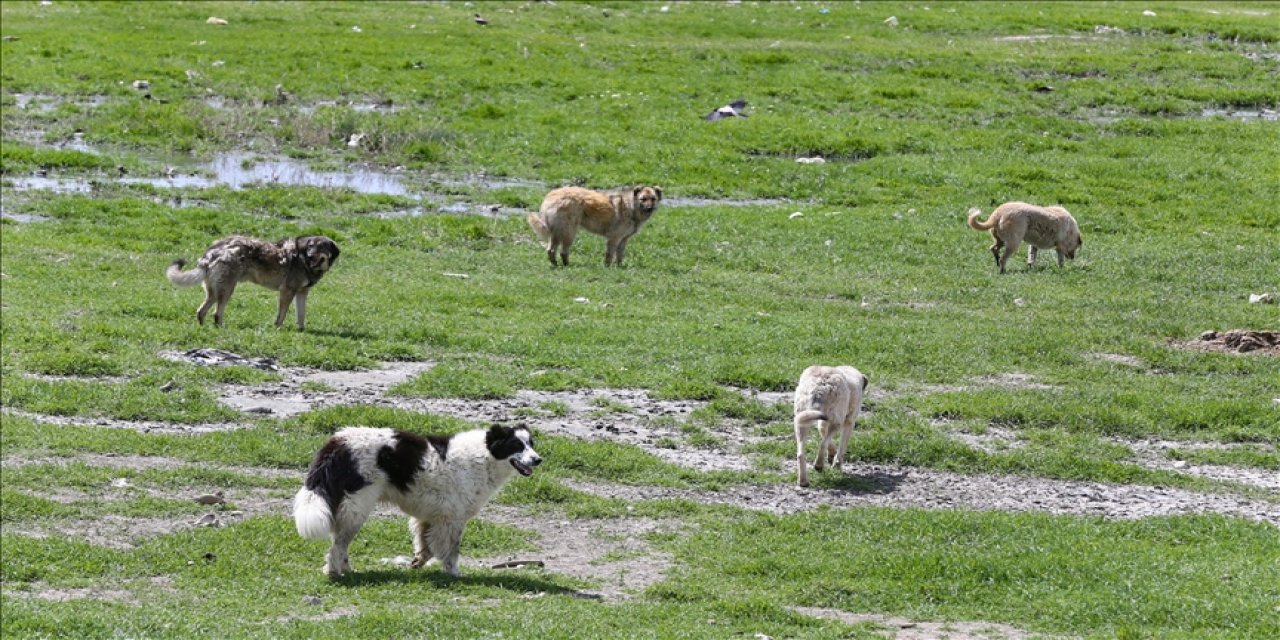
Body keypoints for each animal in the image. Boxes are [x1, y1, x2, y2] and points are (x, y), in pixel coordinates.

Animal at [167, 235, 343, 330]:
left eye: (321, 247)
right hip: (227, 290)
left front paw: (301, 331)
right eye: (310, 246)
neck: (303, 260)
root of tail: (213, 249)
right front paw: (277, 329)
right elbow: (281, 315)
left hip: (214, 292)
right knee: (216, 314)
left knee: (201, 311)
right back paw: (222, 329)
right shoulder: (286, 291)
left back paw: (204, 329)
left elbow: (301, 315)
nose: (311, 255)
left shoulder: (302, 293)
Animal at [293, 422, 540, 578]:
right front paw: (454, 574)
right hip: (357, 508)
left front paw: (417, 563)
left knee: (340, 544)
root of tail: (338, 442)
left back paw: (346, 570)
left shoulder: (432, 517)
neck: (485, 456)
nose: (538, 459)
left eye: (531, 444)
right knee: (338, 546)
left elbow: (426, 547)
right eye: (517, 446)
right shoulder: (452, 519)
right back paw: (335, 573)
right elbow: (451, 551)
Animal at [527, 184, 665, 266]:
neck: (631, 206)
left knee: (551, 249)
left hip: (558, 233)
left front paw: (619, 267)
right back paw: (566, 265)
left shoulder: (624, 239)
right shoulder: (614, 238)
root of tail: (550, 196)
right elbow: (610, 254)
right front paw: (607, 267)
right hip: (569, 232)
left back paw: (556, 264)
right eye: (643, 199)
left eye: (653, 199)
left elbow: (620, 254)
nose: (649, 208)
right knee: (562, 251)